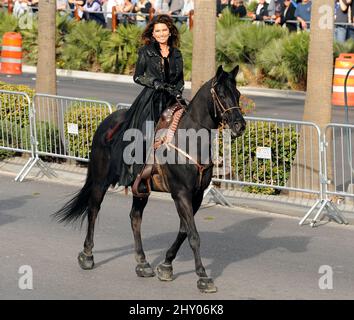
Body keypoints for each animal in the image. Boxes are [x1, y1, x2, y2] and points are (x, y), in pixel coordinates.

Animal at [54, 66, 245, 294]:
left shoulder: (196, 195)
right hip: (100, 181)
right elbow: (193, 235)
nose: (240, 125)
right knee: (93, 210)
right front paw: (203, 276)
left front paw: (166, 265)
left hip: (141, 188)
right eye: (222, 94)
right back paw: (87, 255)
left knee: (135, 218)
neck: (190, 140)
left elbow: (184, 230)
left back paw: (143, 262)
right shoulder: (180, 193)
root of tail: (106, 122)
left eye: (238, 94)